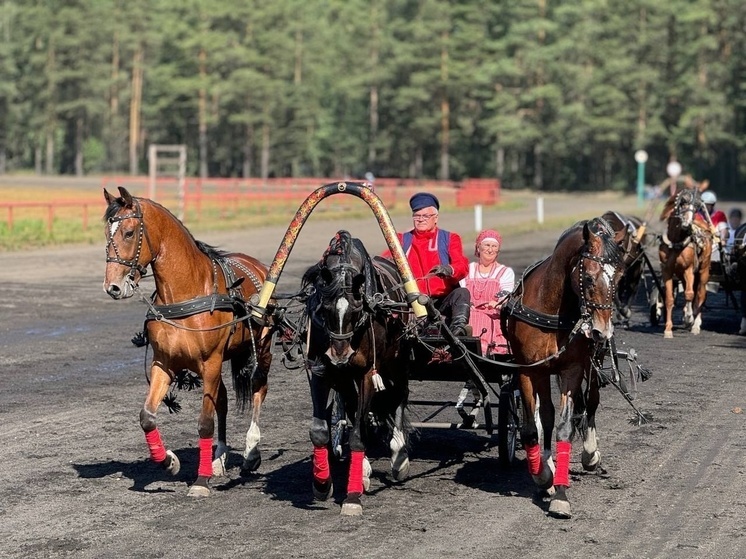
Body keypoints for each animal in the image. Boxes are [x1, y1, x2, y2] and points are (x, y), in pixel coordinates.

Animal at [100, 188, 272, 498]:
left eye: (129, 233)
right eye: (107, 233)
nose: (113, 287)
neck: (184, 293)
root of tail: (258, 265)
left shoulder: (211, 361)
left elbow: (205, 422)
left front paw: (201, 481)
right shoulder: (164, 363)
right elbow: (147, 416)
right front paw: (169, 461)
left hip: (260, 349)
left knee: (257, 389)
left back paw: (251, 452)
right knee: (223, 400)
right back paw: (219, 457)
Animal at [300, 229, 410, 516]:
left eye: (357, 308)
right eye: (325, 307)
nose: (340, 355)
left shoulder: (367, 374)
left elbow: (359, 434)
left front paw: (352, 496)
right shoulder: (322, 371)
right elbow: (320, 430)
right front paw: (322, 482)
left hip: (397, 360)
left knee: (400, 395)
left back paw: (399, 455)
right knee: (351, 406)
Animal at [500, 217, 620, 520]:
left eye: (617, 277)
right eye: (588, 278)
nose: (602, 330)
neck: (551, 308)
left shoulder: (572, 370)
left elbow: (565, 428)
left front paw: (561, 496)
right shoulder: (529, 369)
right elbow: (533, 427)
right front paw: (543, 476)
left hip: (592, 363)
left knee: (590, 403)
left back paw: (590, 453)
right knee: (548, 414)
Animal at [656, 187, 708, 336]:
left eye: (696, 208)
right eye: (682, 205)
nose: (687, 224)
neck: (675, 243)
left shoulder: (689, 269)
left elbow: (690, 294)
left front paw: (689, 318)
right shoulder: (667, 270)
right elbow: (669, 299)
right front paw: (668, 329)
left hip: (703, 271)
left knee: (700, 295)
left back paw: (695, 324)